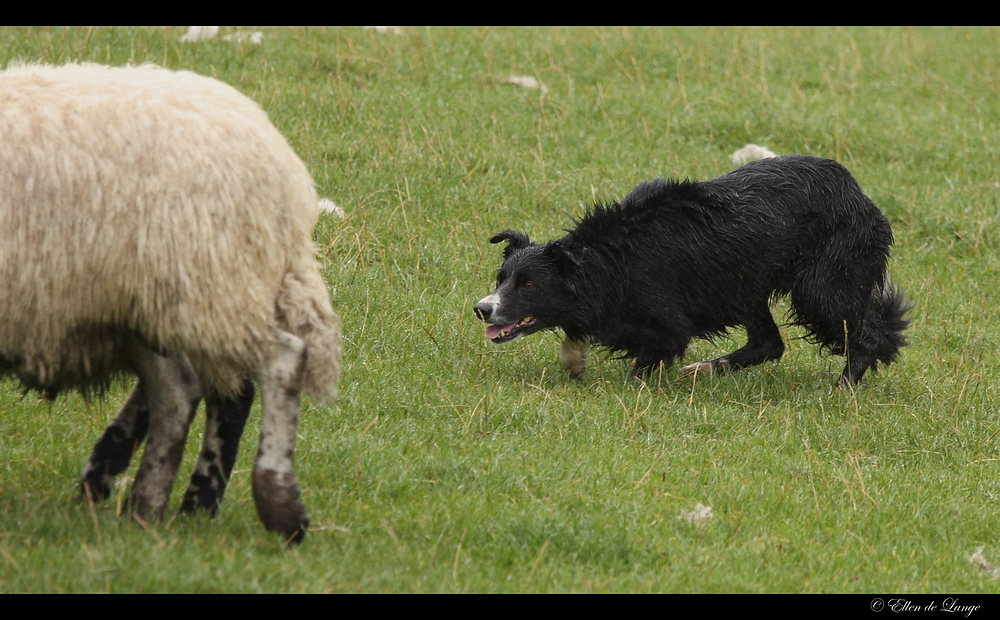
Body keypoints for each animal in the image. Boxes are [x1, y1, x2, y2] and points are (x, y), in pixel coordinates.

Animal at [0, 63, 342, 544]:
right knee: (204, 388)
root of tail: (283, 171)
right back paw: (170, 501)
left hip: (200, 286)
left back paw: (271, 507)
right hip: (153, 301)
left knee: (263, 369)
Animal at [476, 155, 916, 386]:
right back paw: (706, 368)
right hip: (746, 282)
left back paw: (844, 386)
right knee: (769, 342)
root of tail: (862, 197)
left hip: (822, 278)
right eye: (501, 279)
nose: (481, 309)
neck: (611, 256)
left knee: (863, 332)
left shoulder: (665, 314)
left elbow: (651, 343)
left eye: (528, 285)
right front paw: (575, 359)